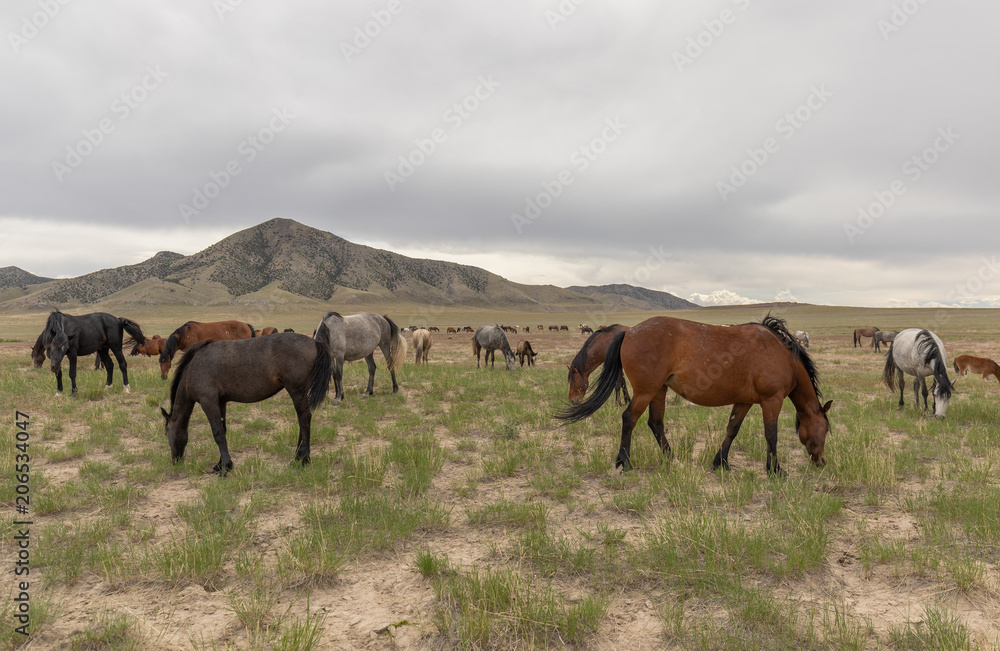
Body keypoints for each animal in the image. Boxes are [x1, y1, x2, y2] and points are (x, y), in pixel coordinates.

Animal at [161, 329, 332, 474]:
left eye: (166, 432)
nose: (175, 461)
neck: (193, 368)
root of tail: (315, 342)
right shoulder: (220, 402)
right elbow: (223, 430)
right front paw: (220, 464)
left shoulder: (208, 402)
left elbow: (217, 433)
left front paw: (226, 468)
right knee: (302, 421)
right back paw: (297, 457)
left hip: (296, 391)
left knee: (304, 419)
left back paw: (303, 459)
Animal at [558, 315, 832, 477]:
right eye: (827, 430)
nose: (822, 461)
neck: (782, 354)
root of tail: (630, 331)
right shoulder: (771, 400)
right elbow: (771, 435)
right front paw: (775, 470)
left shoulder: (744, 401)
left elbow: (732, 430)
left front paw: (721, 462)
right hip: (646, 391)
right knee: (629, 419)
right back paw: (625, 462)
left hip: (658, 391)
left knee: (655, 423)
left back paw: (672, 460)